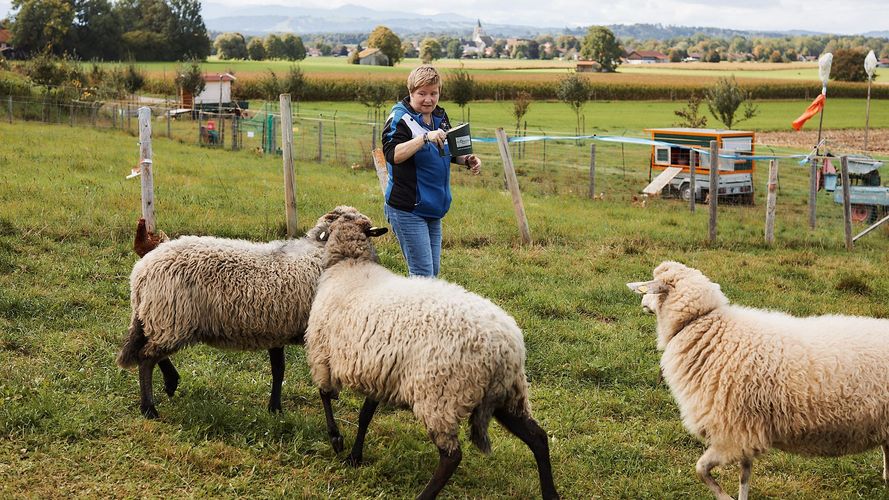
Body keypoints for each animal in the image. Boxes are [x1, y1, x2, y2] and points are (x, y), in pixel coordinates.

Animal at [116, 205, 362, 420]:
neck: (318, 254)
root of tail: (141, 272)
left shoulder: (276, 328)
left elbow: (278, 369)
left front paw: (275, 408)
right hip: (173, 316)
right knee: (146, 358)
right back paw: (149, 408)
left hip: (161, 318)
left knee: (149, 350)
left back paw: (170, 381)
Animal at [302, 213, 560, 500]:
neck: (350, 265)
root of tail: (508, 347)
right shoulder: (380, 368)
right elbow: (365, 414)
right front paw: (355, 457)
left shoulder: (322, 355)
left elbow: (325, 395)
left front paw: (336, 440)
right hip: (508, 394)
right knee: (538, 437)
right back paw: (550, 494)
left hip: (441, 396)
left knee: (451, 456)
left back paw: (424, 496)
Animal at [628, 262, 888, 500]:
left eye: (652, 289)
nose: (641, 303)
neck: (706, 328)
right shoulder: (746, 432)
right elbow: (744, 476)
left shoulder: (731, 434)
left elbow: (701, 470)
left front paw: (725, 497)